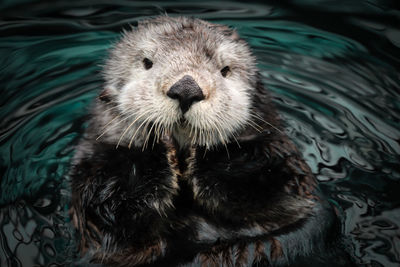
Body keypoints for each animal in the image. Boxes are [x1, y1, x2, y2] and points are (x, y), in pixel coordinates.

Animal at [69, 16, 354, 267]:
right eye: (147, 62)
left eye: (224, 70)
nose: (186, 89)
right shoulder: (94, 172)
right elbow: (113, 209)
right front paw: (156, 140)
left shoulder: (284, 166)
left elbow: (270, 185)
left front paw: (207, 144)